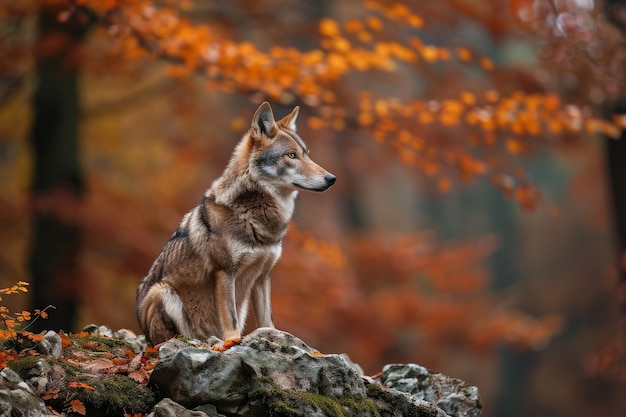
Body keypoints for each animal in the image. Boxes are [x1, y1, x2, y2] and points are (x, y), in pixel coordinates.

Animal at [135, 101, 334, 344]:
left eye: (306, 154)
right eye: (291, 155)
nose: (331, 178)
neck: (255, 217)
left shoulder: (262, 277)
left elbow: (268, 320)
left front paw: (274, 338)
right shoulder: (225, 272)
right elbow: (230, 317)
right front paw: (233, 341)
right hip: (163, 292)